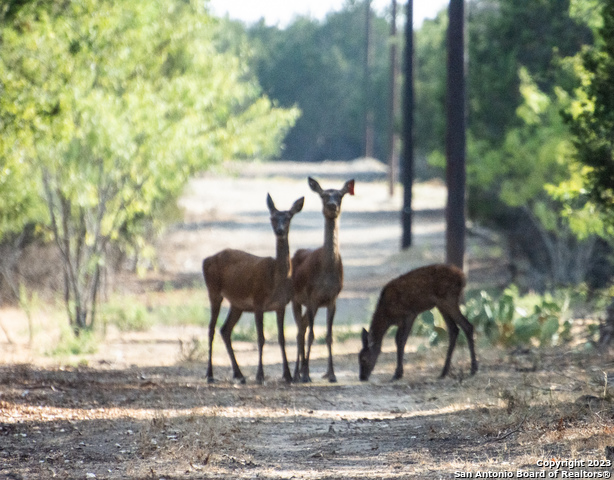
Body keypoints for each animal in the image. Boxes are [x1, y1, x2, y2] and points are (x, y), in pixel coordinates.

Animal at [205, 193, 306, 384]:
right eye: (272, 217)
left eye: (288, 217)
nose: (280, 230)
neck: (276, 279)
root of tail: (206, 259)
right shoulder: (258, 301)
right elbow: (261, 338)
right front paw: (260, 375)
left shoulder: (281, 305)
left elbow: (281, 338)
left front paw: (288, 375)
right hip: (213, 291)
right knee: (211, 329)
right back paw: (210, 374)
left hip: (237, 304)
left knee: (225, 330)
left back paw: (239, 374)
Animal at [294, 176, 356, 382]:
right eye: (323, 196)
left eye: (340, 196)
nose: (332, 206)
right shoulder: (312, 296)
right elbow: (312, 335)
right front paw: (307, 374)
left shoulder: (332, 299)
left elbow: (329, 336)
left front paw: (332, 374)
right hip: (295, 299)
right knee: (300, 331)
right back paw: (297, 373)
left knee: (302, 327)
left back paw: (299, 371)